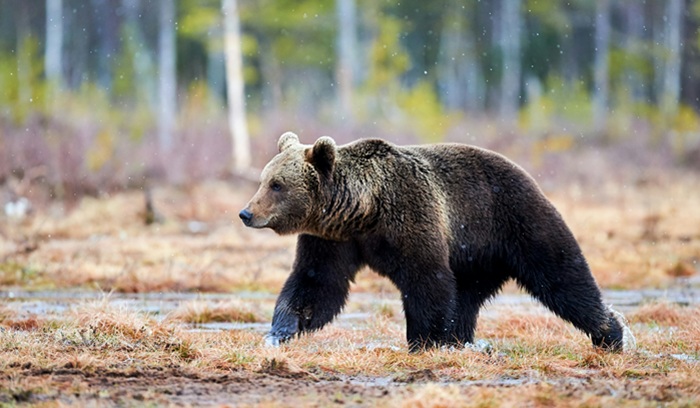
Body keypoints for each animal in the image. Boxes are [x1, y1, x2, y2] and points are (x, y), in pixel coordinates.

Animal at [239, 132, 631, 352]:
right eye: (264, 180)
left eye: (276, 184)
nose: (246, 212)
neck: (362, 211)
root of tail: (526, 173)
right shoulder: (332, 240)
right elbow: (317, 284)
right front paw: (281, 330)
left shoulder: (410, 216)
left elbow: (426, 279)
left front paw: (426, 340)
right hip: (476, 257)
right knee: (468, 295)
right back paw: (462, 338)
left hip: (512, 219)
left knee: (561, 274)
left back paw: (610, 332)